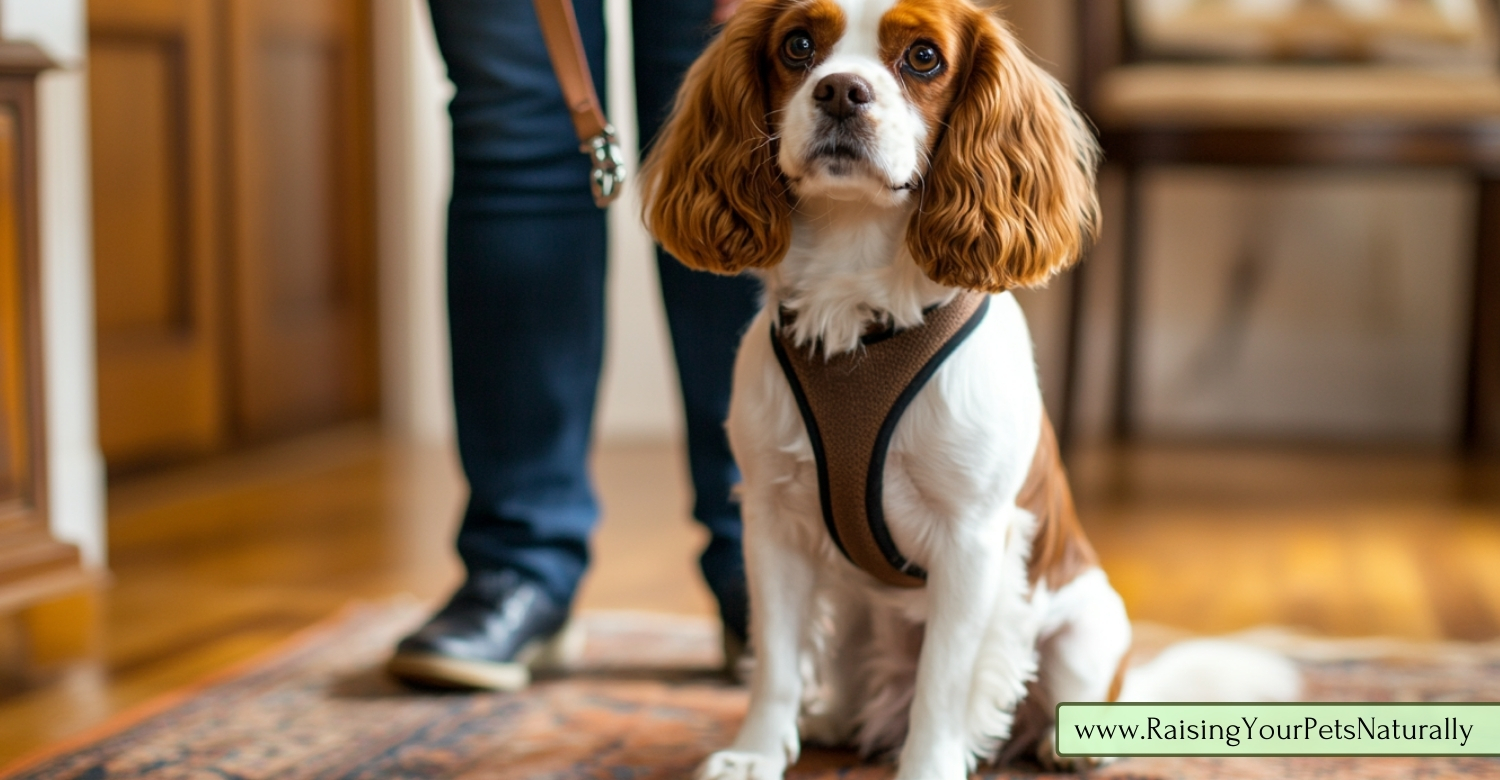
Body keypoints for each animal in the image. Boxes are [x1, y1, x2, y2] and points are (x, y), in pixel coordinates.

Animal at [636, 0, 1302, 774]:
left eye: (923, 57)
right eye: (798, 46)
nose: (841, 91)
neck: (857, 311)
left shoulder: (972, 540)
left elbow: (944, 681)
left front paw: (928, 764)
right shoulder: (775, 524)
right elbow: (775, 658)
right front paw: (755, 754)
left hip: (1088, 630)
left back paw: (1066, 746)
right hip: (861, 611)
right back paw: (834, 718)